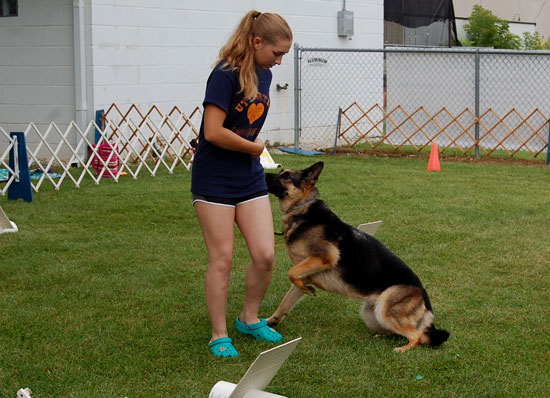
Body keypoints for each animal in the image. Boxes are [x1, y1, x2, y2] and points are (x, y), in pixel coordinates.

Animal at [266, 162, 450, 352]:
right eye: (281, 172)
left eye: (286, 176)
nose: (264, 175)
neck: (302, 207)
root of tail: (423, 294)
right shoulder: (306, 272)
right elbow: (286, 300)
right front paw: (271, 320)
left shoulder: (325, 257)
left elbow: (291, 272)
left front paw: (306, 290)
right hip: (370, 313)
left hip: (384, 308)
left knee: (417, 336)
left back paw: (402, 349)